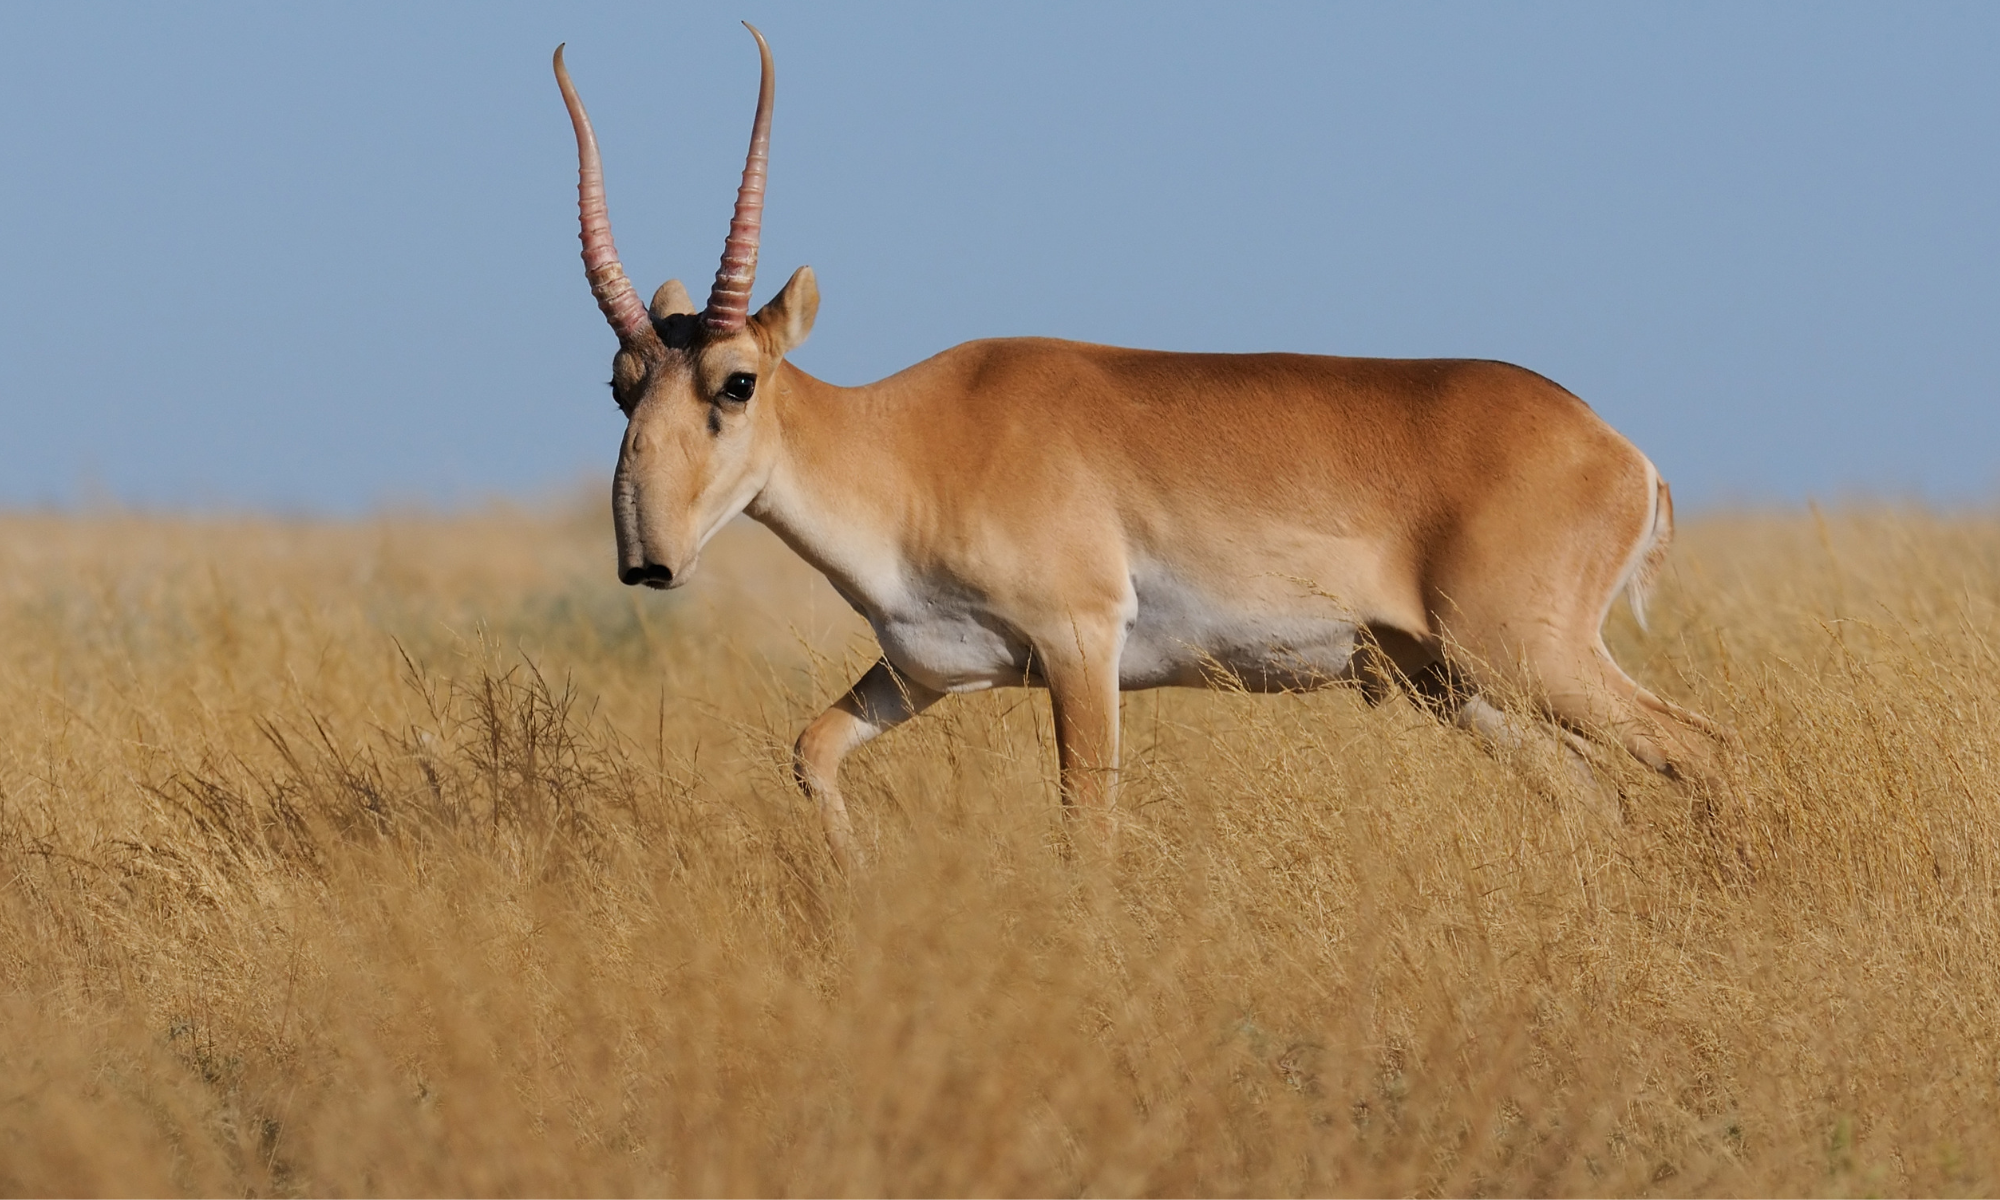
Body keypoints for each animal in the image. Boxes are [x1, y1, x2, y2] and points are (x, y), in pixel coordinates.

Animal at [556, 28, 1728, 868]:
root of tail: (1620, 452)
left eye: (736, 382)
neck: (909, 442)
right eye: (620, 383)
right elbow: (810, 752)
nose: (646, 560)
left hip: (1525, 659)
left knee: (1701, 752)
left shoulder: (1082, 648)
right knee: (1599, 800)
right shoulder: (926, 672)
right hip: (1462, 686)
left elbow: (1088, 829)